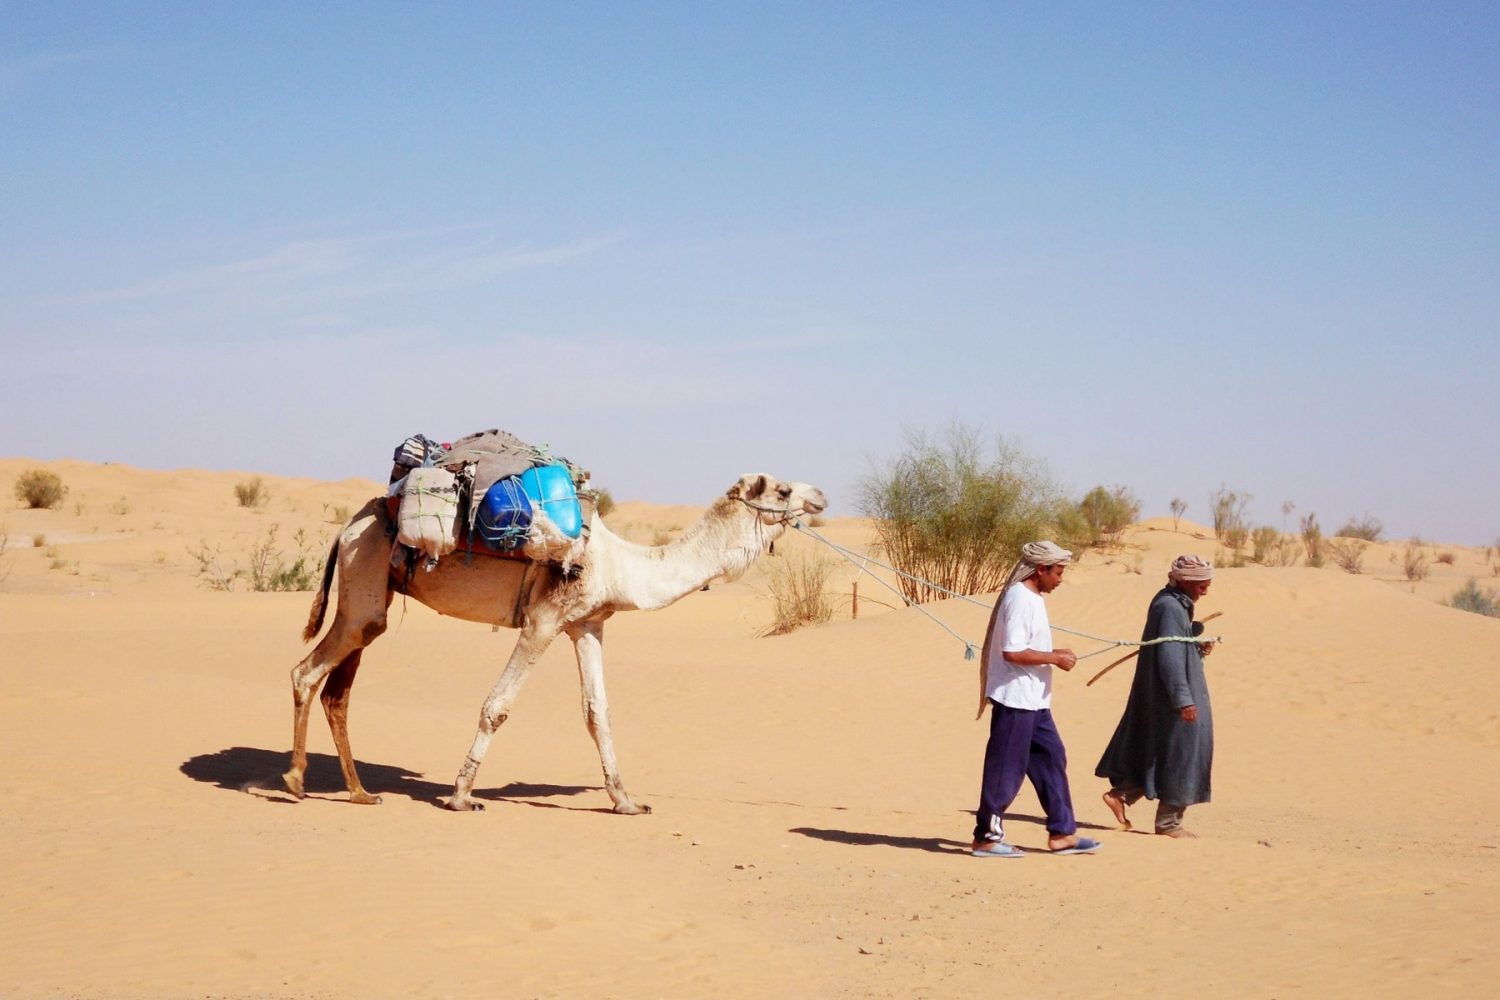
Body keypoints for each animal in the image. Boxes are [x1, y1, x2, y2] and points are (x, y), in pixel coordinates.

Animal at [285, 470, 828, 815]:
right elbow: (497, 706)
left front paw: (626, 802)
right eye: (783, 488)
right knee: (306, 672)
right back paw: (294, 782)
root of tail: (349, 526)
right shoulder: (543, 621)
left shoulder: (586, 624)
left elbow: (597, 712)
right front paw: (461, 795)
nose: (821, 495)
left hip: (370, 592)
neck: (619, 564)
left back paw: (359, 793)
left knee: (339, 688)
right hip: (365, 571)